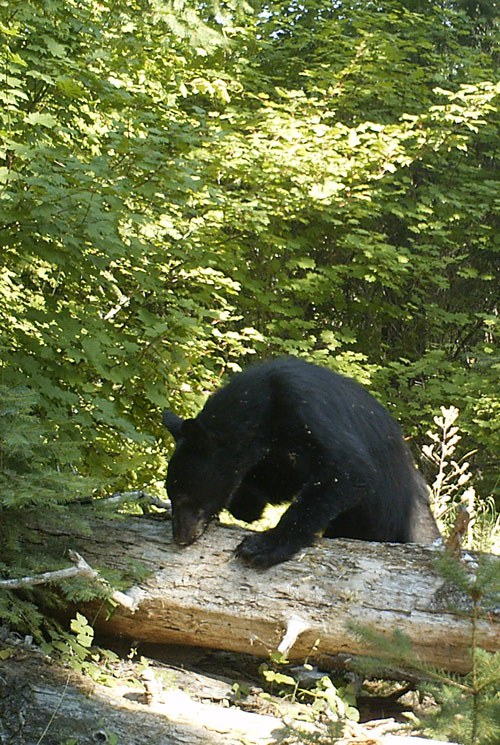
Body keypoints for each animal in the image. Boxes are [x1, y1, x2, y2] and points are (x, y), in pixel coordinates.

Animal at [162, 357, 439, 568]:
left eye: (184, 496)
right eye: (171, 494)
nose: (180, 537)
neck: (261, 404)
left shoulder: (306, 408)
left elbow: (349, 470)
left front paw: (263, 546)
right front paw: (248, 502)